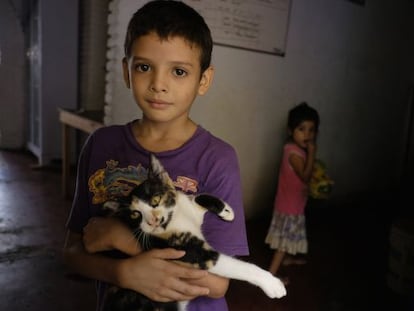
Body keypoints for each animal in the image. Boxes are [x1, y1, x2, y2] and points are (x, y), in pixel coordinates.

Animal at [102, 155, 286, 311]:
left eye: (155, 199)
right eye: (135, 215)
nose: (152, 221)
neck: (175, 218)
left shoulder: (189, 206)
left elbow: (198, 198)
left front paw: (227, 211)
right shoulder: (190, 252)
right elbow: (237, 266)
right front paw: (272, 284)